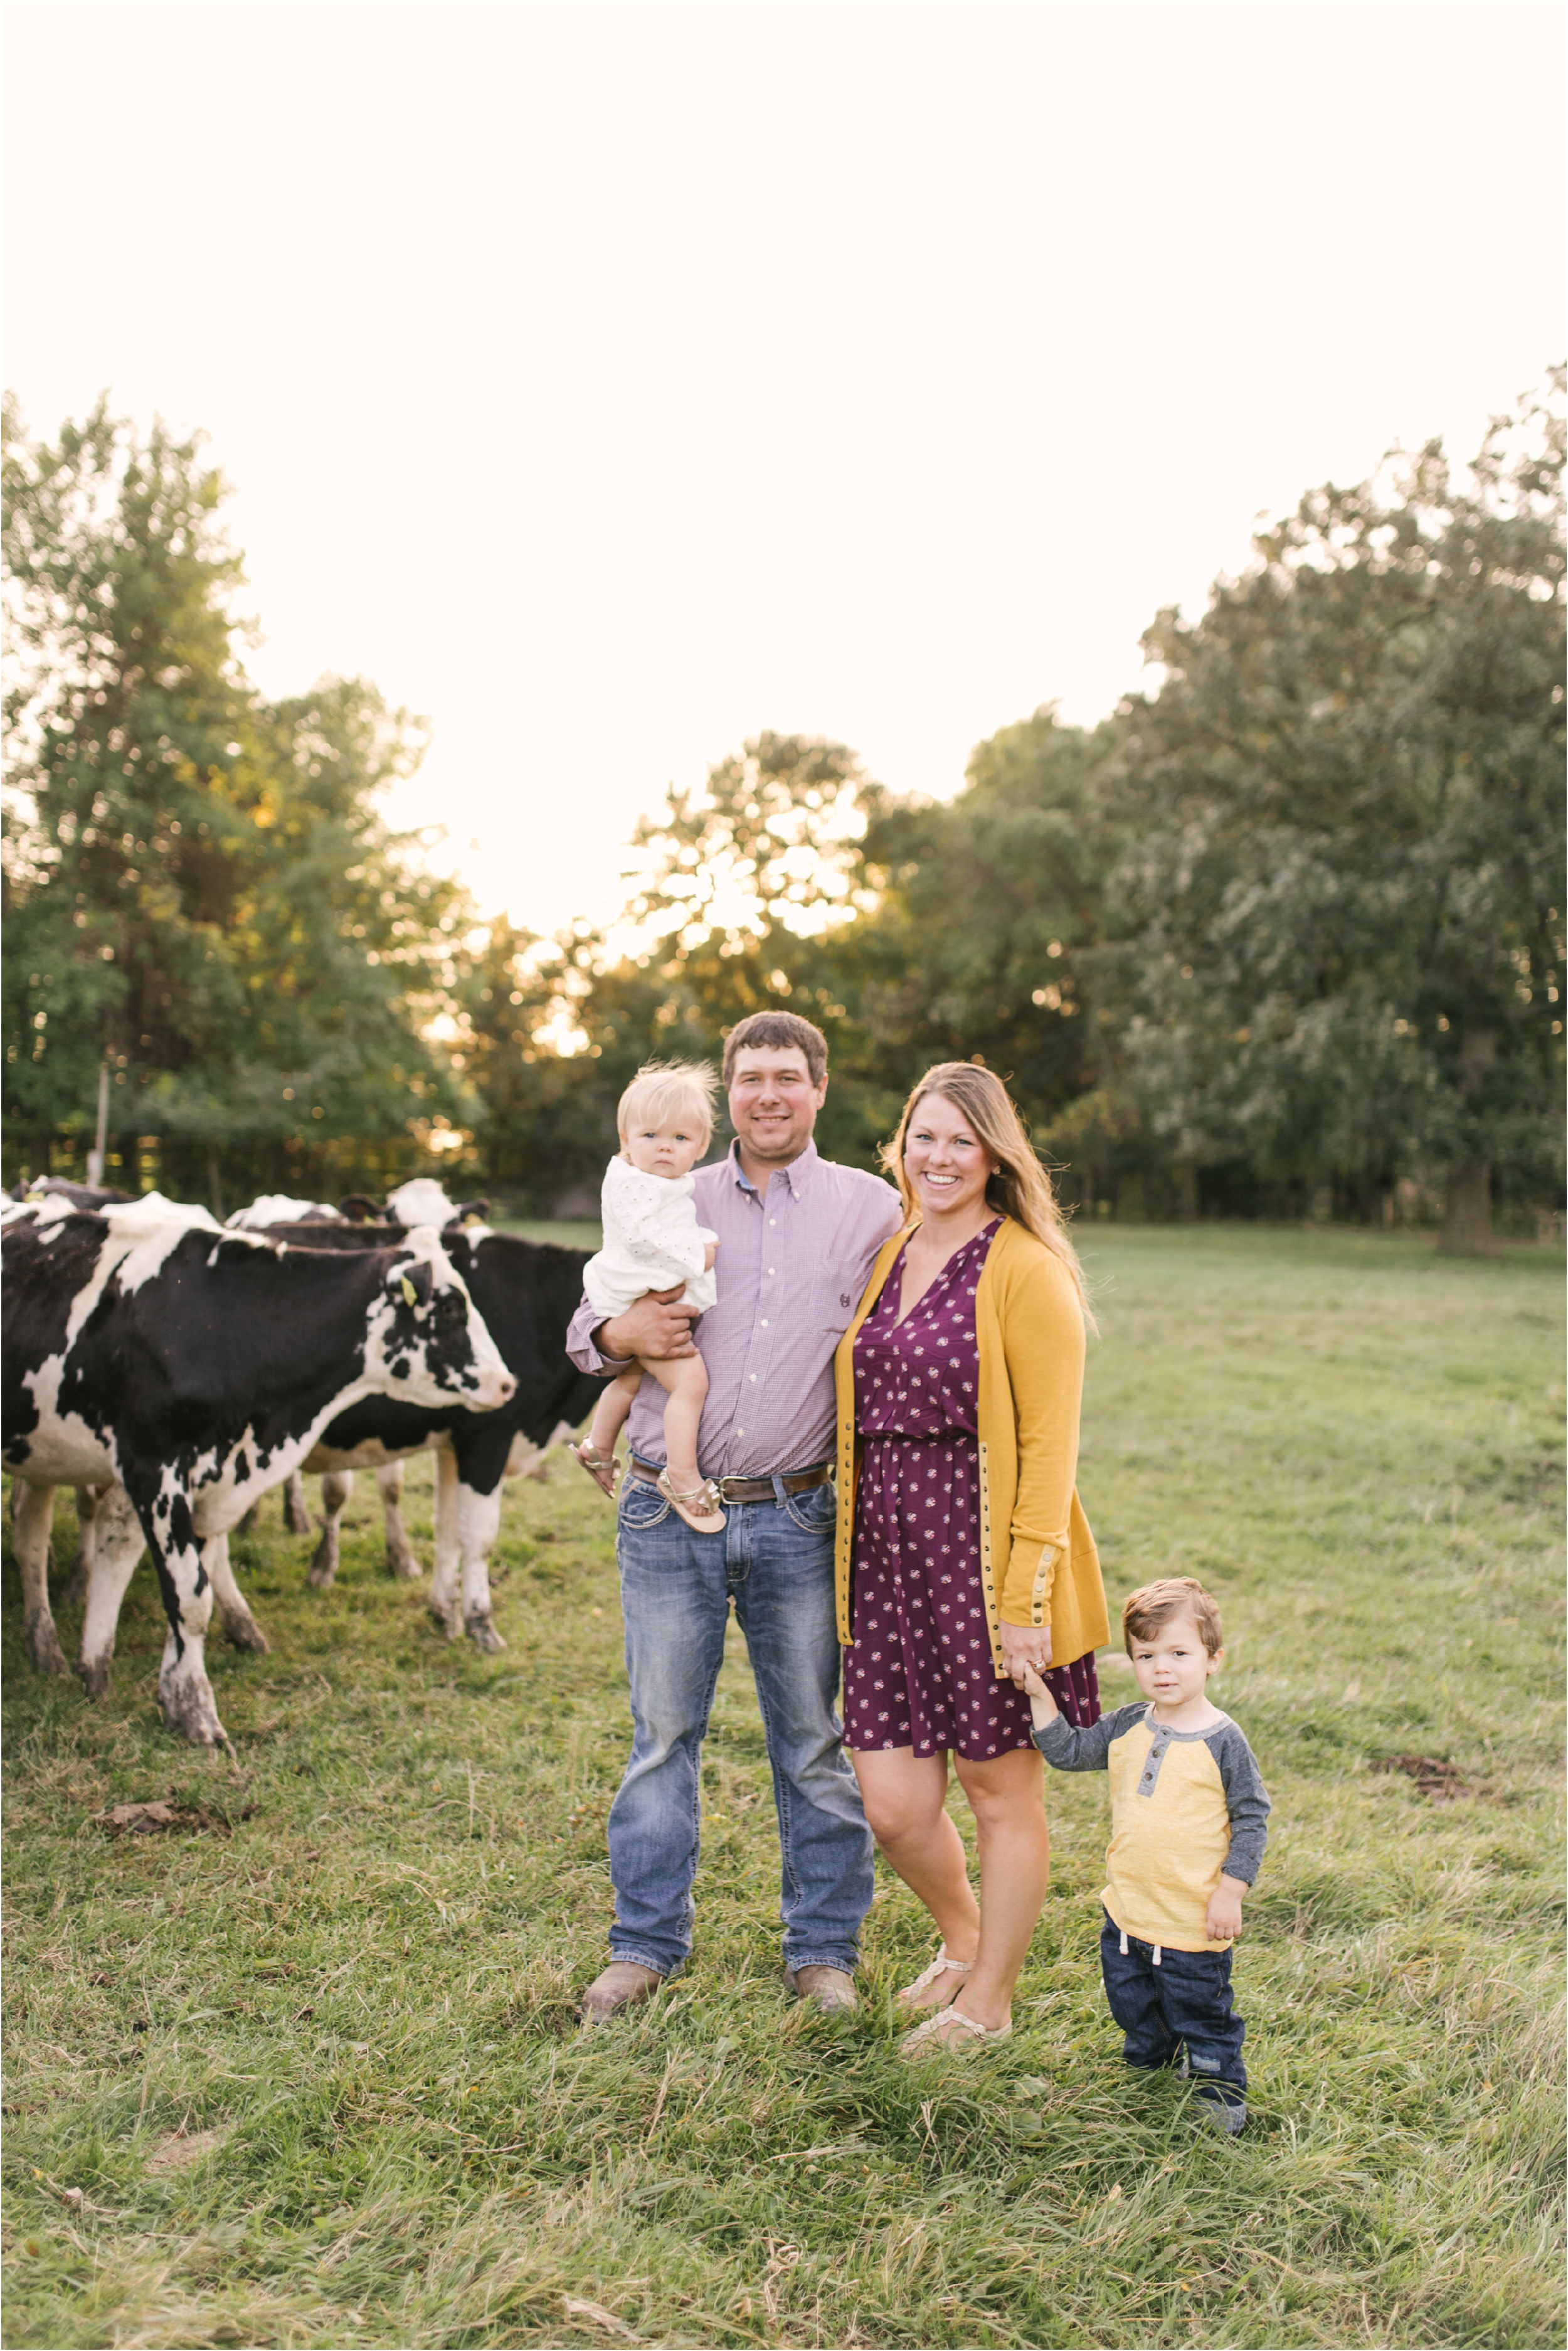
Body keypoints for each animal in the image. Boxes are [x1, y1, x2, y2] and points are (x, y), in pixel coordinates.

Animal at [1, 1203, 514, 1739]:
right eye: (450, 1308)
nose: (506, 1384)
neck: (222, 1323)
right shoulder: (154, 1471)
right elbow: (189, 1596)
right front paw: (197, 1715)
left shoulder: (213, 1482)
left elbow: (195, 1592)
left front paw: (169, 1695)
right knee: (35, 1540)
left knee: (33, 1533)